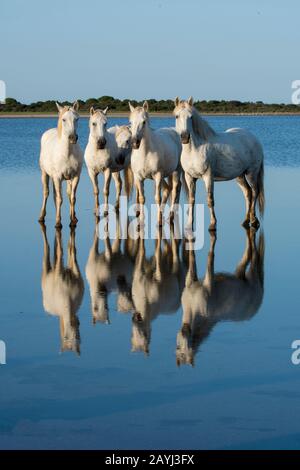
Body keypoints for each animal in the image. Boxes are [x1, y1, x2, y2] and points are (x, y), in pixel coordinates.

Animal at [39, 101, 83, 229]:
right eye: (63, 119)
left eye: (77, 119)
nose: (73, 138)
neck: (67, 153)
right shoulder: (57, 177)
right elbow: (59, 199)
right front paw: (58, 222)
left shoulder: (75, 177)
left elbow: (72, 198)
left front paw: (72, 220)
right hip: (45, 174)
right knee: (47, 193)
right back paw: (41, 216)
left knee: (64, 195)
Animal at [39, 226, 84, 354]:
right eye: (66, 337)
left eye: (78, 337)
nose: (75, 326)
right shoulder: (58, 273)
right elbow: (60, 253)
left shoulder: (76, 273)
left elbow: (73, 251)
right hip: (46, 274)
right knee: (49, 253)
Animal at [173, 97, 264, 231]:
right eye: (177, 116)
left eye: (191, 117)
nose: (185, 137)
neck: (195, 149)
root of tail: (254, 139)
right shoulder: (190, 177)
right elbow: (191, 199)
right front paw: (189, 225)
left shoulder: (208, 177)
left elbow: (210, 200)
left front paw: (212, 224)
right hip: (240, 176)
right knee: (248, 193)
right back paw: (246, 220)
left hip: (251, 173)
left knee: (255, 192)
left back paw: (253, 220)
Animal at [177, 229, 264, 368]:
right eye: (179, 347)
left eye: (190, 346)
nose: (185, 330)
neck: (193, 306)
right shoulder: (191, 279)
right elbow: (191, 259)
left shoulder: (209, 283)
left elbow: (210, 260)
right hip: (241, 276)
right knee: (247, 256)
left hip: (254, 277)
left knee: (254, 255)